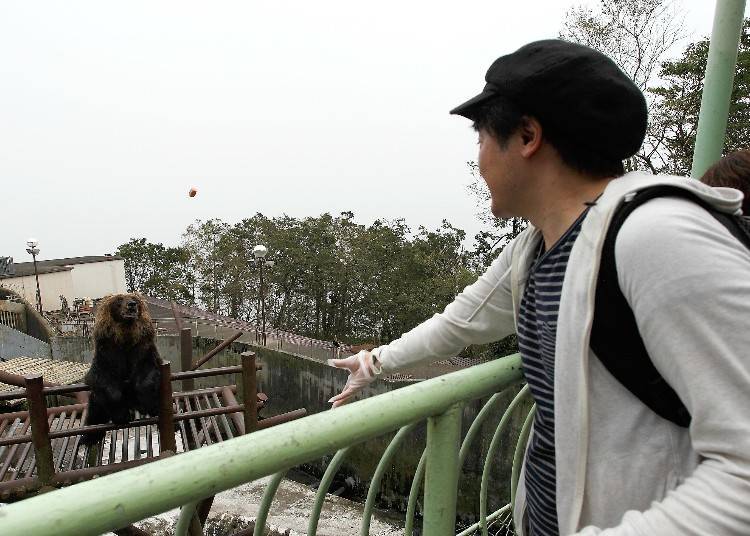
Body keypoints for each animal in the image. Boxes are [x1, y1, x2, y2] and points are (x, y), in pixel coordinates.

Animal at [82, 294, 162, 444]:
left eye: (134, 299)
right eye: (119, 300)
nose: (132, 305)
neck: (126, 336)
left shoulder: (142, 348)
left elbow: (147, 373)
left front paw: (150, 404)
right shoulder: (107, 351)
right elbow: (103, 379)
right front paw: (122, 415)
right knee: (95, 411)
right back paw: (88, 437)